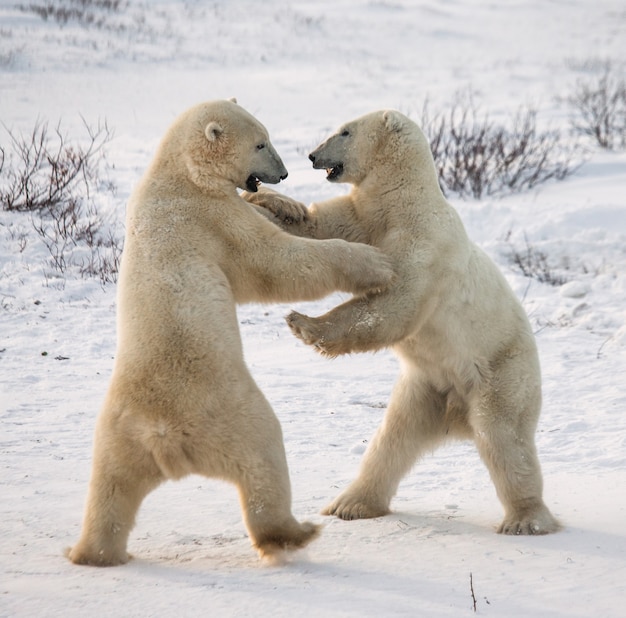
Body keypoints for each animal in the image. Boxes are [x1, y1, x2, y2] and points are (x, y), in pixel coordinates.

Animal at [66, 98, 392, 564]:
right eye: (260, 143)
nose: (285, 173)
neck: (179, 174)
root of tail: (168, 440)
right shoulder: (212, 217)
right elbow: (277, 262)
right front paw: (375, 263)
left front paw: (288, 206)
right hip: (230, 413)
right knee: (264, 456)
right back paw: (295, 531)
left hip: (118, 434)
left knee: (109, 489)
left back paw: (91, 552)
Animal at [243, 108, 556, 532]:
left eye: (345, 132)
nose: (312, 155)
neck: (401, 202)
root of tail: (458, 413)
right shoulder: (363, 217)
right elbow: (320, 227)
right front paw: (269, 201)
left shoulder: (424, 243)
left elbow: (394, 305)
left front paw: (303, 323)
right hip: (425, 387)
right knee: (393, 439)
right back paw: (350, 503)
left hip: (501, 372)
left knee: (504, 437)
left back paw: (526, 519)